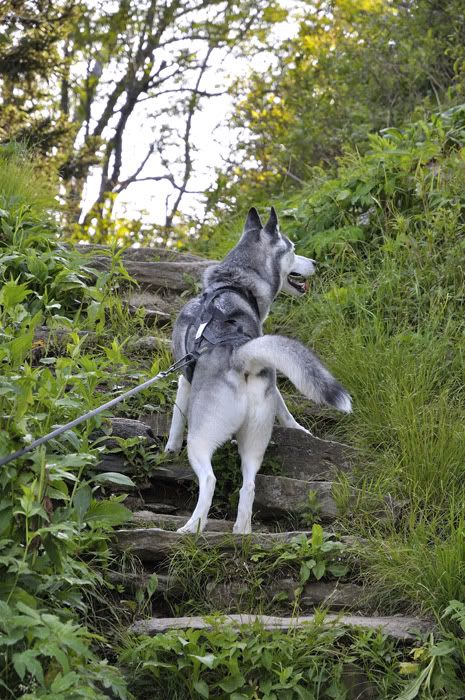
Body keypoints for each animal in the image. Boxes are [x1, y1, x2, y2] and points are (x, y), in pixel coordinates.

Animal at [165, 205, 350, 532]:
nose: (315, 262)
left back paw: (192, 528)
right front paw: (299, 429)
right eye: (293, 248)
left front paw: (169, 449)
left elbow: (176, 419)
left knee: (209, 480)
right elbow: (284, 406)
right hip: (255, 439)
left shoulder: (184, 377)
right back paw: (242, 530)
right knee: (249, 484)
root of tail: (239, 354)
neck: (234, 283)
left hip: (200, 438)